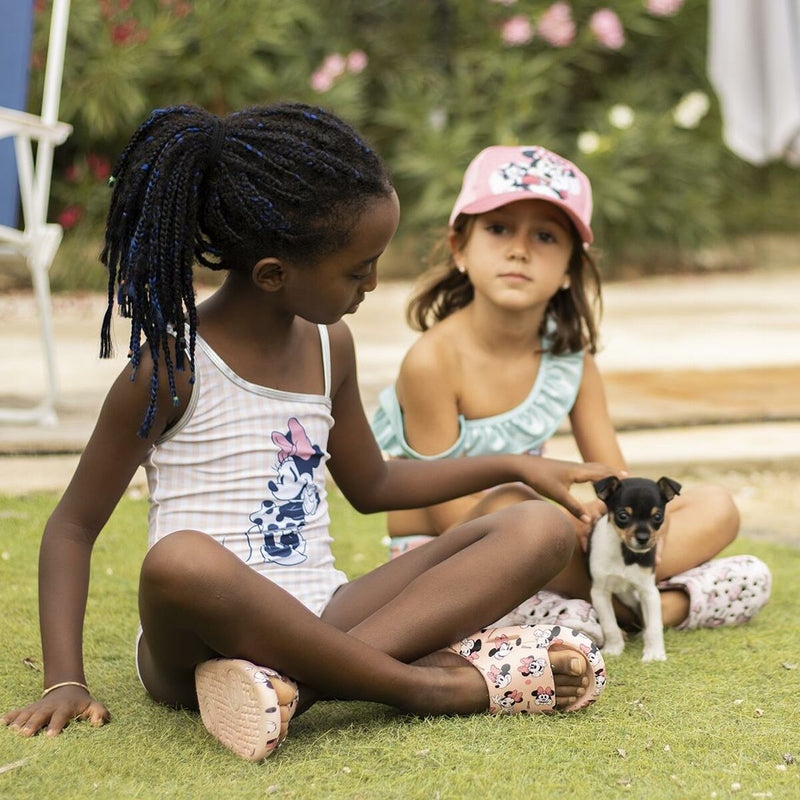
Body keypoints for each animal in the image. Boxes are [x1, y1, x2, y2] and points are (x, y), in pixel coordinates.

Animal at [588, 476, 680, 664]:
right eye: (623, 516)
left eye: (657, 516)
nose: (643, 538)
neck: (625, 553)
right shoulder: (599, 593)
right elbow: (609, 625)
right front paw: (613, 649)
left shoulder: (649, 591)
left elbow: (654, 626)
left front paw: (654, 653)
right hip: (625, 596)